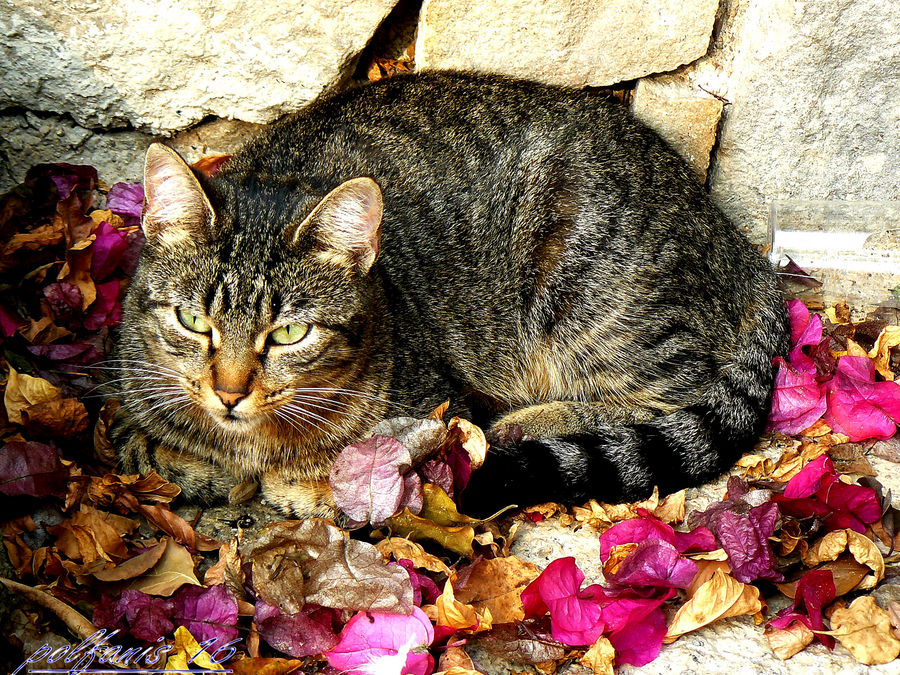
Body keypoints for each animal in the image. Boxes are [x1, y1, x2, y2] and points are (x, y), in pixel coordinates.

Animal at [110, 71, 788, 516]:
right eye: (193, 321)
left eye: (288, 334)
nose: (229, 392)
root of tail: (733, 239)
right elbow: (145, 443)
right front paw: (195, 460)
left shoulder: (431, 414)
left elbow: (340, 476)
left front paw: (292, 478)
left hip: (591, 299)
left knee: (672, 392)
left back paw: (522, 423)